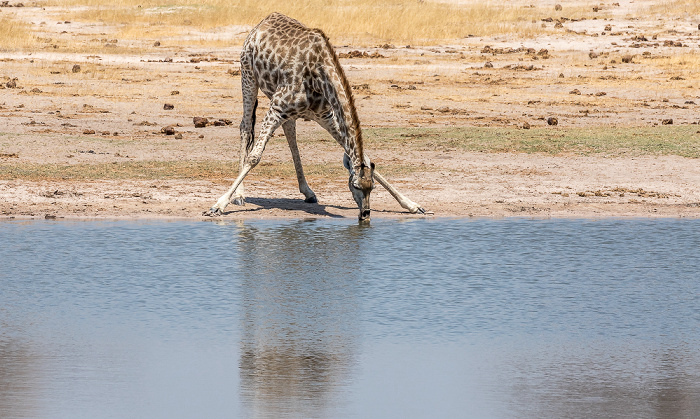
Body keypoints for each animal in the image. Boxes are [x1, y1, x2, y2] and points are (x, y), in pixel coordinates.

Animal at [204, 12, 426, 223]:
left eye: (371, 187)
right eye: (354, 185)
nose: (365, 215)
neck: (319, 76)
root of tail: (262, 22)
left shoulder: (325, 116)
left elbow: (364, 157)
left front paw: (412, 204)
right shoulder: (275, 108)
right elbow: (254, 157)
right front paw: (218, 205)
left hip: (287, 110)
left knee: (290, 132)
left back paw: (308, 191)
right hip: (248, 76)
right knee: (245, 127)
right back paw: (240, 195)